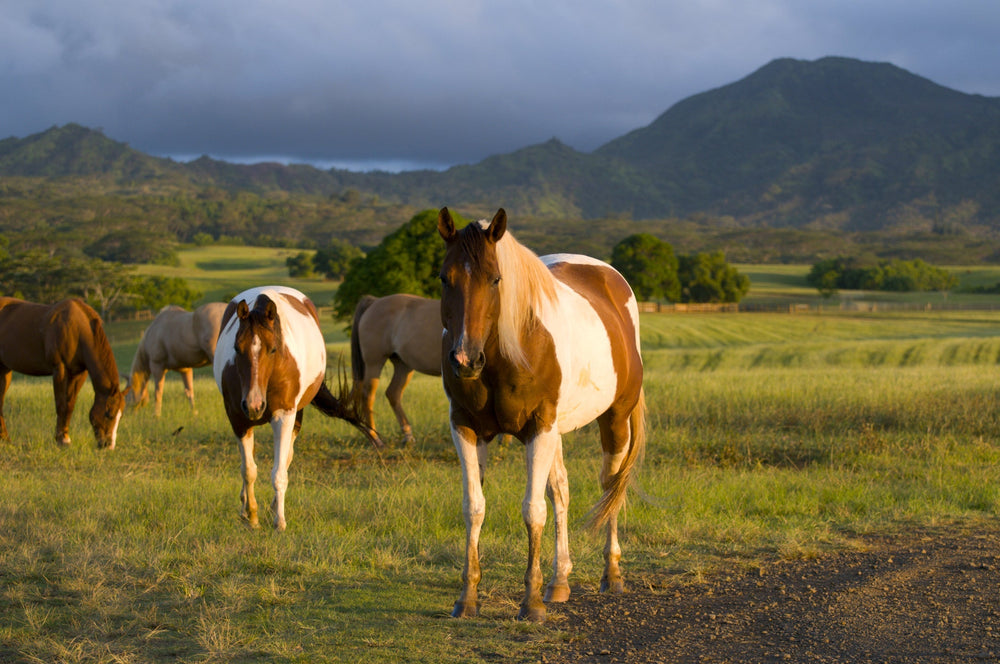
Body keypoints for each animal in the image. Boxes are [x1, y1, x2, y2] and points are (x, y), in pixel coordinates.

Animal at [0, 297, 125, 448]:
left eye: (120, 416)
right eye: (109, 414)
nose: (108, 445)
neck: (77, 330)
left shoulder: (79, 374)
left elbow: (70, 404)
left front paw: (65, 437)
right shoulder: (60, 369)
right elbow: (61, 404)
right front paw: (61, 440)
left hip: (4, 370)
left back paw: (5, 439)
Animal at [214, 285, 380, 531]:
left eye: (273, 349)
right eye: (236, 348)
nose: (254, 405)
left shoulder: (284, 416)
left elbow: (279, 472)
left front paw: (279, 521)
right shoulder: (238, 419)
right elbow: (248, 470)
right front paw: (251, 515)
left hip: (296, 416)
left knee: (286, 458)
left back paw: (274, 506)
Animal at [350, 294, 442, 446]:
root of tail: (375, 301)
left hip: (403, 366)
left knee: (393, 393)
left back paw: (408, 436)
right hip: (374, 363)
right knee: (368, 395)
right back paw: (375, 439)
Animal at [437, 207, 646, 622]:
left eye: (495, 278)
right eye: (444, 278)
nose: (465, 360)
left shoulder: (539, 428)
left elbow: (533, 511)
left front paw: (530, 603)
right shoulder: (465, 428)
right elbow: (474, 507)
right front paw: (467, 597)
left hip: (613, 419)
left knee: (610, 486)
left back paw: (612, 573)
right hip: (557, 432)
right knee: (561, 491)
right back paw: (559, 581)